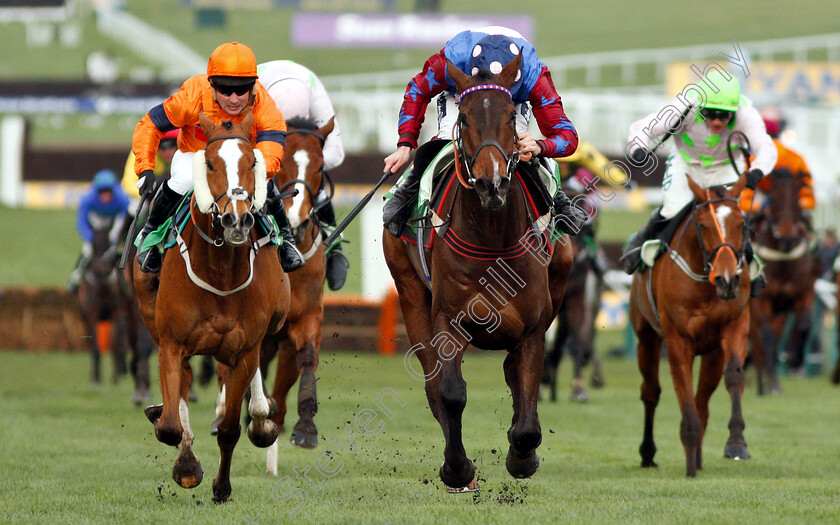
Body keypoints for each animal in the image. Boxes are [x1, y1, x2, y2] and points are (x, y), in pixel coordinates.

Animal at [133, 110, 288, 504]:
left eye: (252, 163)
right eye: (210, 163)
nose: (236, 219)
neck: (220, 268)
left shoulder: (244, 347)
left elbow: (231, 428)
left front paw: (222, 487)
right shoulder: (172, 343)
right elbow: (170, 426)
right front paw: (187, 465)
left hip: (276, 315)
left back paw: (262, 416)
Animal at [384, 55, 576, 490]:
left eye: (510, 116)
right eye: (466, 117)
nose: (492, 184)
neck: (492, 238)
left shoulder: (533, 326)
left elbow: (528, 402)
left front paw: (522, 458)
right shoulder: (448, 319)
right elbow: (451, 392)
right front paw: (457, 468)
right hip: (409, 292)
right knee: (433, 384)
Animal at [628, 174, 752, 476]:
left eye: (741, 224)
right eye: (703, 225)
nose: (727, 279)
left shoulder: (734, 326)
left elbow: (734, 375)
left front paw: (736, 443)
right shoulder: (678, 340)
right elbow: (681, 389)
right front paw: (689, 459)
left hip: (711, 353)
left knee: (702, 402)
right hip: (646, 338)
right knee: (651, 392)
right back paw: (648, 454)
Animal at [748, 168, 820, 392]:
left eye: (796, 198)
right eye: (774, 198)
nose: (787, 235)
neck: (784, 258)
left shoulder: (803, 294)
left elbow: (803, 326)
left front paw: (795, 359)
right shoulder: (761, 301)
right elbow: (767, 335)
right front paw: (771, 382)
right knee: (758, 338)